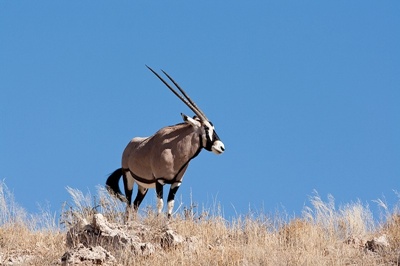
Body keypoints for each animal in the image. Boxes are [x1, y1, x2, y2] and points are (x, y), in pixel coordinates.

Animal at [106, 65, 225, 217]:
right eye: (206, 128)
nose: (221, 147)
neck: (175, 151)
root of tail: (129, 146)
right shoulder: (160, 181)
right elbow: (160, 204)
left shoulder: (176, 183)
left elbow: (170, 205)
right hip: (129, 178)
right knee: (128, 204)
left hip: (143, 186)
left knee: (135, 205)